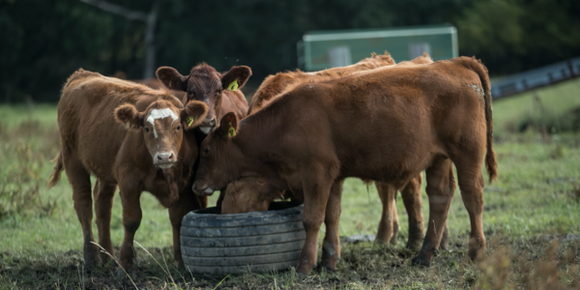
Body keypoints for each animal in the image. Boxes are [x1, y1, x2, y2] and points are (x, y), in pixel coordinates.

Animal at [47, 69, 210, 270]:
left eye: (178, 126)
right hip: (73, 161)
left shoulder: (183, 184)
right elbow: (131, 221)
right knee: (84, 206)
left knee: (103, 206)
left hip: (105, 169)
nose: (164, 157)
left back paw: (108, 256)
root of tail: (82, 75)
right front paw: (125, 263)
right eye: (146, 128)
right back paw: (92, 257)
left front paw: (181, 263)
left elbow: (178, 218)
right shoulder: (129, 181)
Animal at [193, 56, 496, 274]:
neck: (286, 121)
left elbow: (312, 218)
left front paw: (305, 265)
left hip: (467, 153)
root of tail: (455, 63)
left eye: (206, 149)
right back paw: (424, 253)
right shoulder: (333, 176)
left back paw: (475, 252)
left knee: (473, 197)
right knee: (440, 197)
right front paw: (328, 262)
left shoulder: (316, 172)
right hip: (438, 158)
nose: (196, 186)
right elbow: (332, 216)